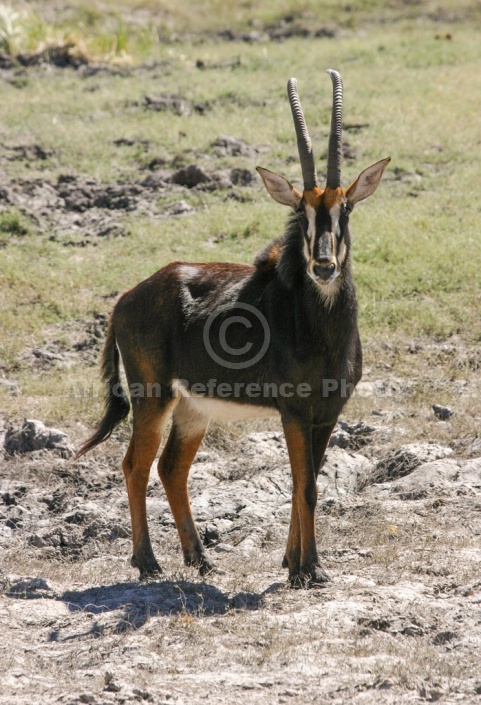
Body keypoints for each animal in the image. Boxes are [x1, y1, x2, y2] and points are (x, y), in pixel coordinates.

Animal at [77, 73, 388, 588]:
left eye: (345, 209)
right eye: (301, 211)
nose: (323, 266)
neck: (319, 328)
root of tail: (125, 299)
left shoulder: (328, 412)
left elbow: (309, 483)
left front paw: (292, 563)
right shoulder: (294, 411)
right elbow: (304, 485)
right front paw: (309, 569)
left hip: (193, 408)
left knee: (171, 468)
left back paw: (200, 559)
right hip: (153, 396)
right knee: (135, 464)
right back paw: (148, 562)